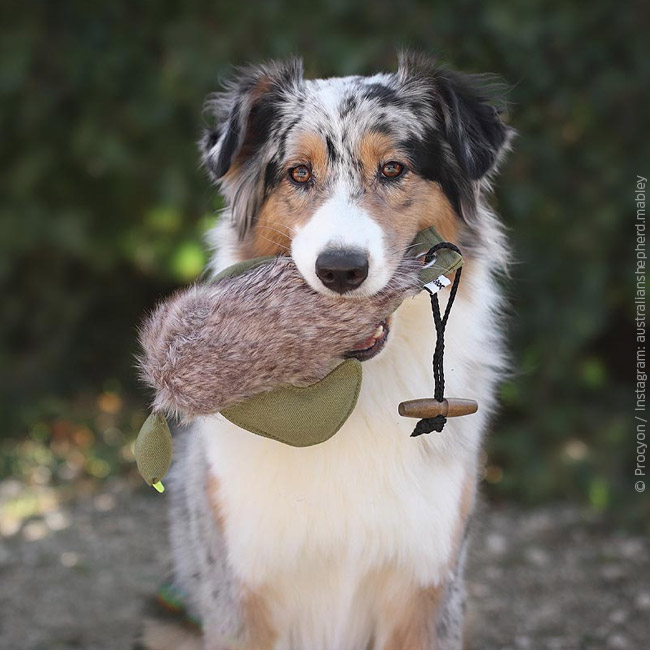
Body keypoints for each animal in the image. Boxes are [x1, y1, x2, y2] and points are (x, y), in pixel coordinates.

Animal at [142, 50, 512, 648]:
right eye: (299, 173)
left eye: (393, 169)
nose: (340, 269)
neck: (352, 388)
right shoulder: (239, 587)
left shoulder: (428, 584)